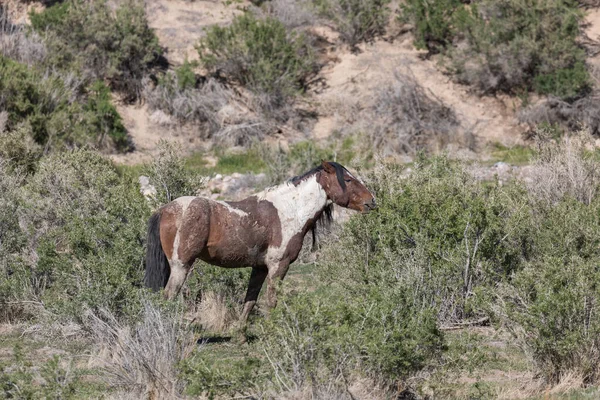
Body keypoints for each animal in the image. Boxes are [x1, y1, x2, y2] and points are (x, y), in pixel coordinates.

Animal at [143, 159, 376, 332]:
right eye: (348, 179)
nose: (371, 201)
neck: (289, 209)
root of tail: (165, 209)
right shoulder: (278, 265)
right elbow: (271, 301)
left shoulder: (260, 267)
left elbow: (250, 300)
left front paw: (240, 334)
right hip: (181, 266)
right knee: (167, 297)